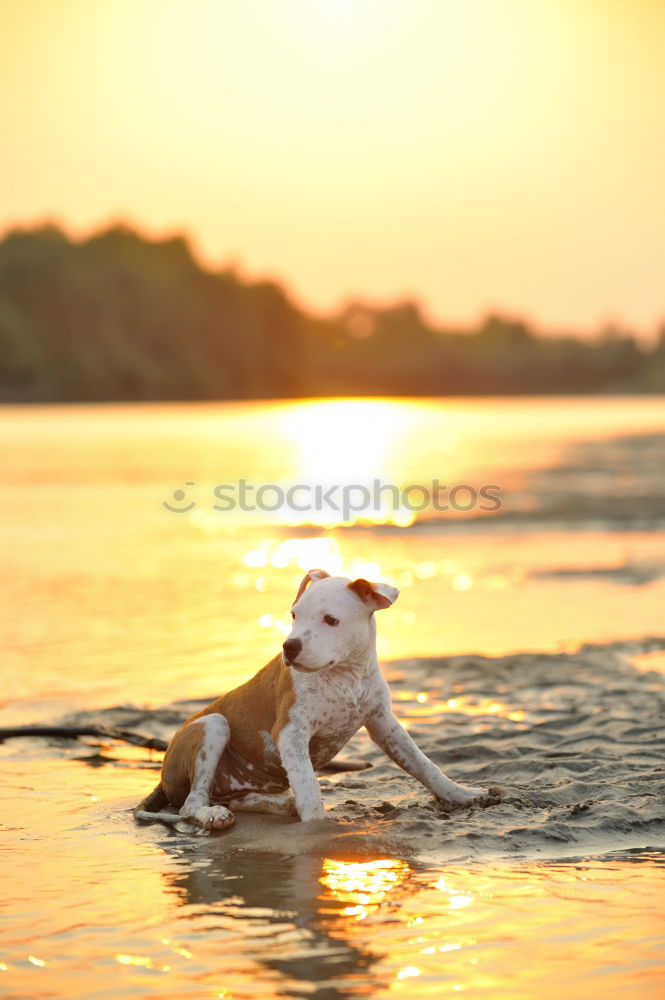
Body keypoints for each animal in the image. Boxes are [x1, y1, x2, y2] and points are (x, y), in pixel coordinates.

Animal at [135, 568, 488, 832]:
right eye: (294, 615)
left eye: (330, 620)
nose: (289, 647)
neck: (344, 676)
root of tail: (163, 778)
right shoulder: (292, 732)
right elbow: (308, 784)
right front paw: (319, 826)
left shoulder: (384, 724)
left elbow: (425, 765)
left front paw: (463, 794)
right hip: (213, 725)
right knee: (191, 803)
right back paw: (213, 815)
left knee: (235, 798)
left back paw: (277, 805)